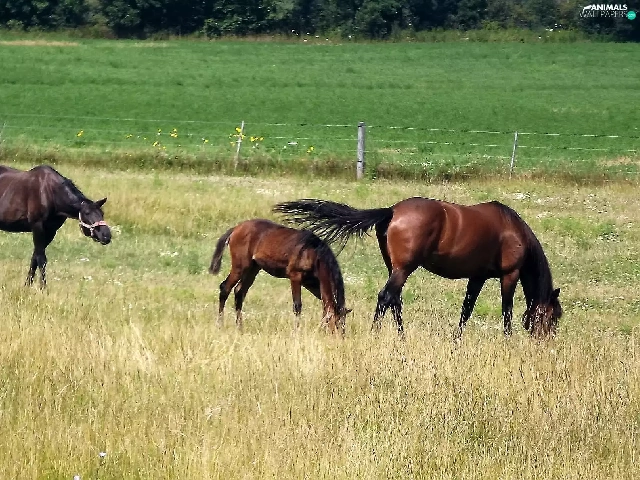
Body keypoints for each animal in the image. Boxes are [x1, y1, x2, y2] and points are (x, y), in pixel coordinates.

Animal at [209, 219, 350, 334]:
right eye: (336, 323)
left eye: (343, 324)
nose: (340, 339)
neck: (313, 253)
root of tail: (236, 228)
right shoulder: (295, 277)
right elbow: (297, 306)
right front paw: (296, 332)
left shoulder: (313, 284)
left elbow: (324, 304)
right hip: (240, 267)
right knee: (225, 288)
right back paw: (220, 325)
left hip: (253, 269)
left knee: (239, 292)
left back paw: (240, 328)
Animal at [274, 197, 562, 338]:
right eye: (555, 316)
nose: (546, 342)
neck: (513, 231)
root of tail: (391, 211)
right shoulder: (509, 275)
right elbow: (507, 310)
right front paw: (508, 340)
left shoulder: (477, 276)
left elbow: (467, 310)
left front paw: (456, 340)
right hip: (404, 268)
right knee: (386, 298)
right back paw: (376, 335)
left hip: (395, 268)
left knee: (395, 301)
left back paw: (402, 338)